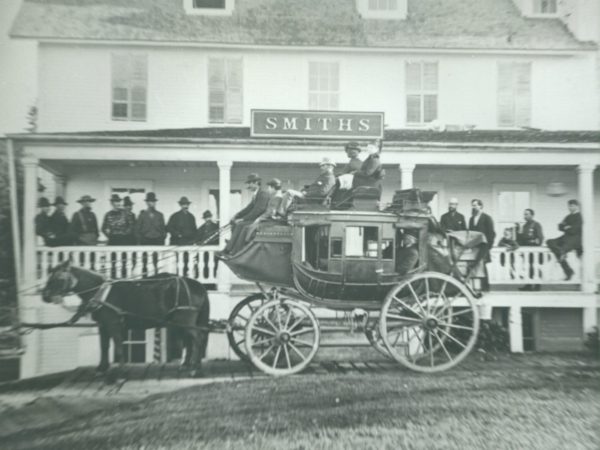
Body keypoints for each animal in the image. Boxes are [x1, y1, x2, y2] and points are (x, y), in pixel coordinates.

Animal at [42, 260, 211, 376]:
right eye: (50, 276)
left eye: (59, 278)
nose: (45, 296)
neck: (101, 292)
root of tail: (197, 284)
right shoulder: (103, 325)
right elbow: (104, 346)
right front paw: (102, 368)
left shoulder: (113, 323)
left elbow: (118, 346)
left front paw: (120, 371)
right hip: (180, 321)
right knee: (190, 340)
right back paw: (189, 365)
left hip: (185, 319)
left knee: (197, 339)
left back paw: (195, 369)